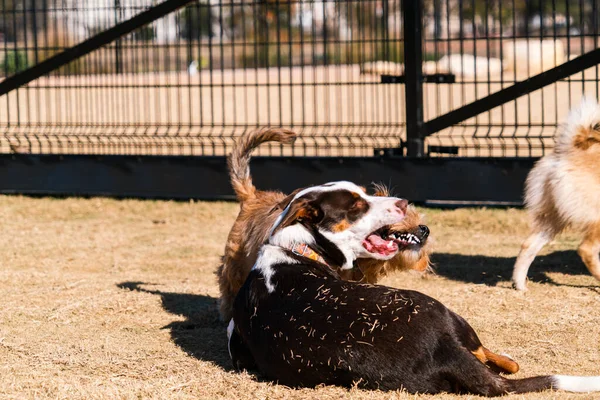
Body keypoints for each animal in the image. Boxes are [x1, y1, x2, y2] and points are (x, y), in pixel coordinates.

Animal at [227, 182, 600, 396]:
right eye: (356, 205)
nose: (404, 202)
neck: (296, 248)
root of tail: (443, 349)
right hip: (448, 312)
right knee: (503, 362)